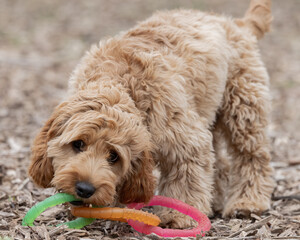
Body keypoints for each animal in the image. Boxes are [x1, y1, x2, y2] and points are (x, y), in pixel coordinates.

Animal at [28, 0, 274, 228]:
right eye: (78, 144)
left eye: (113, 156)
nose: (85, 188)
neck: (120, 83)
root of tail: (237, 24)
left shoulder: (186, 141)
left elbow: (187, 178)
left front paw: (178, 216)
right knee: (220, 162)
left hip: (242, 106)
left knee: (252, 156)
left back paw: (247, 203)